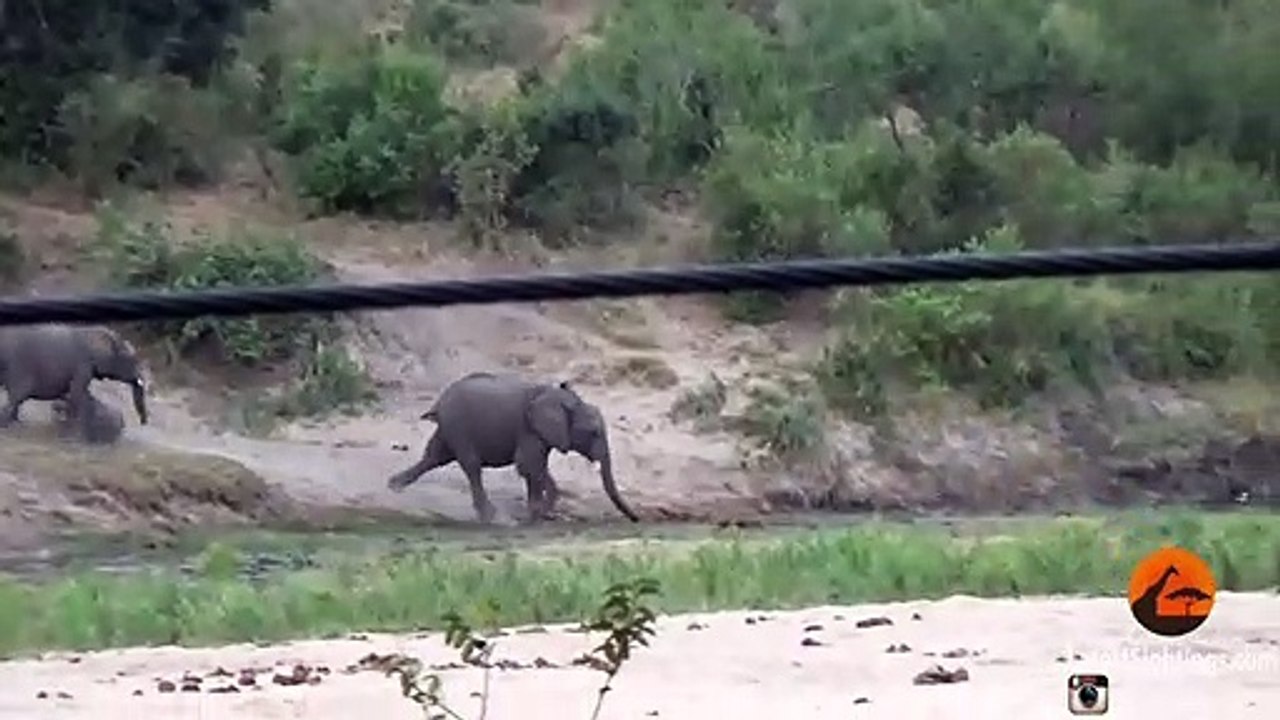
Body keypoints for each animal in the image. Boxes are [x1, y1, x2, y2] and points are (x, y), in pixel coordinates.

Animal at [0, 323, 148, 428]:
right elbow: (77, 392)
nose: (143, 422)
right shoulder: (82, 365)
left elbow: (78, 394)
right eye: (131, 360)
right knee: (17, 397)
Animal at [387, 372, 640, 524]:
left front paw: (539, 514)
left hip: (450, 428)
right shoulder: (529, 428)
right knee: (471, 465)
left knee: (434, 456)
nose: (637, 520)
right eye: (594, 432)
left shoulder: (542, 433)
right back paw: (493, 518)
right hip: (459, 425)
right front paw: (540, 514)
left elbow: (534, 468)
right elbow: (528, 465)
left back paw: (394, 486)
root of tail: (439, 401)